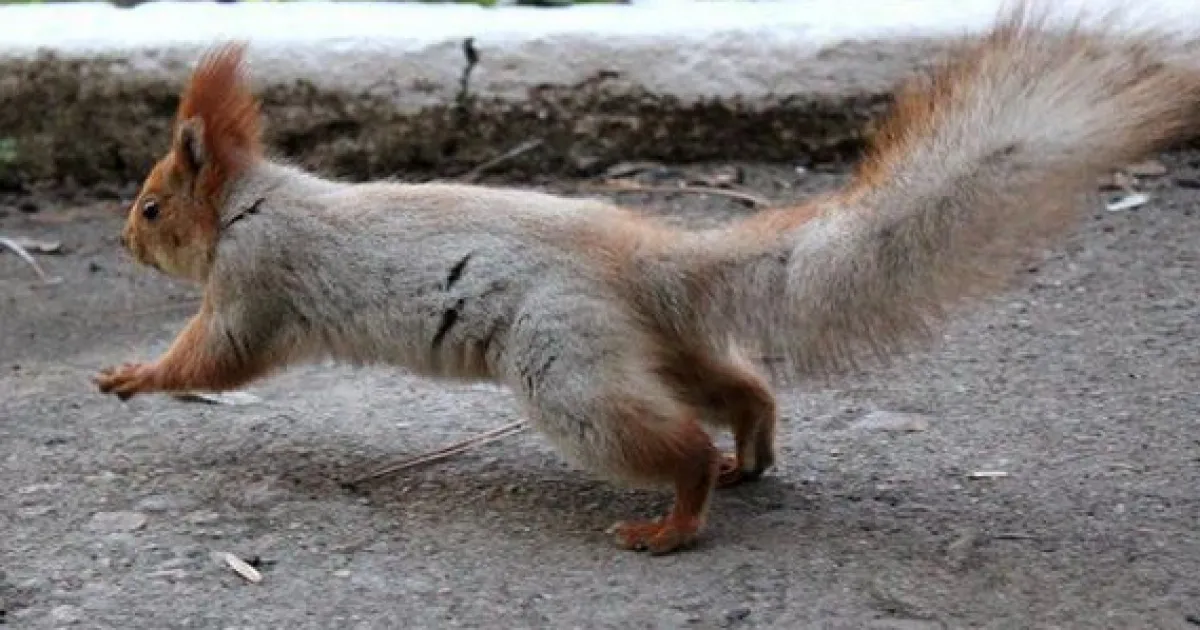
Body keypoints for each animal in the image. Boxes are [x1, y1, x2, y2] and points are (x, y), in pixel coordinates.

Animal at [95, 3, 1199, 555]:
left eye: (151, 207)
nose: (122, 244)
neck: (254, 202)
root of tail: (641, 255)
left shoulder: (256, 281)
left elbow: (216, 360)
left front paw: (130, 378)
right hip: (655, 346)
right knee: (742, 389)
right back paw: (751, 455)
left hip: (569, 367)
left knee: (676, 444)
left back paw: (674, 521)